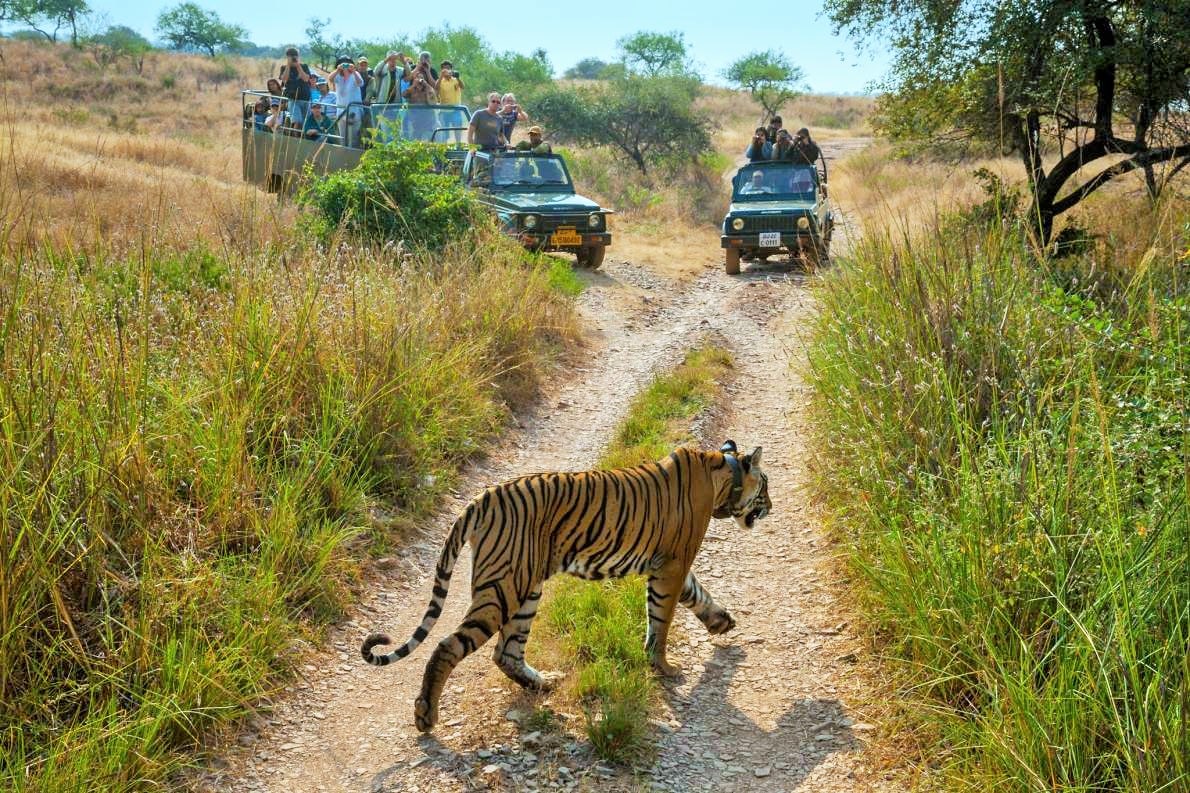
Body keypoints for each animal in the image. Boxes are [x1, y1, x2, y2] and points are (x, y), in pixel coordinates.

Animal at [359, 438, 771, 728]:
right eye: (765, 485)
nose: (771, 507)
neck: (723, 474)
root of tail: (481, 498)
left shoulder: (670, 564)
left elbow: (695, 592)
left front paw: (721, 621)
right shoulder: (672, 562)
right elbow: (662, 618)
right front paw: (664, 668)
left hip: (525, 588)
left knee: (506, 652)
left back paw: (544, 685)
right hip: (504, 588)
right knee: (449, 645)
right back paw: (425, 716)